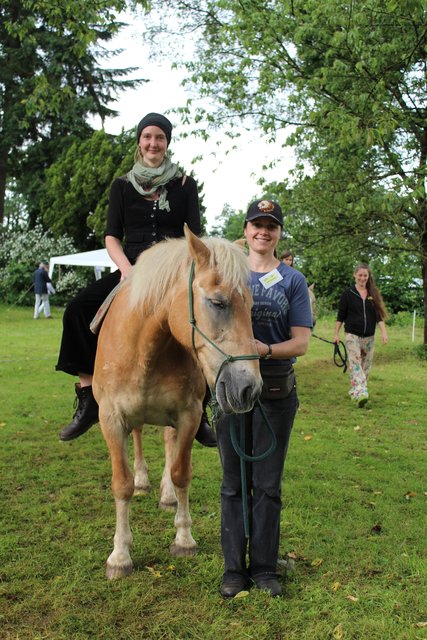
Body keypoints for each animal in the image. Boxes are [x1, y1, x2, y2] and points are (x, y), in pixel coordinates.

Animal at [93, 226, 263, 579]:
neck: (146, 349)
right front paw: (119, 555)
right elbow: (121, 484)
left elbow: (181, 472)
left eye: (252, 305)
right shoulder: (111, 419)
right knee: (138, 435)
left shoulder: (188, 415)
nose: (249, 389)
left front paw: (184, 538)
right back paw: (143, 481)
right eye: (218, 302)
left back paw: (167, 496)